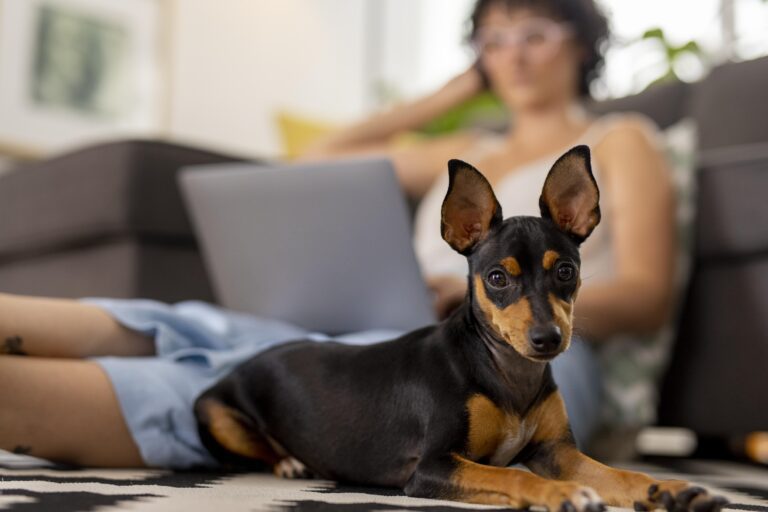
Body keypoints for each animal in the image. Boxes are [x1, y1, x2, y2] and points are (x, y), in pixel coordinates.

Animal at [194, 145, 728, 512]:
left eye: (566, 272)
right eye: (496, 278)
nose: (548, 339)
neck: (507, 373)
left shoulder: (558, 452)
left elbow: (619, 473)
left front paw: (668, 488)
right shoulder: (431, 467)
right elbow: (517, 477)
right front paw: (562, 494)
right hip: (214, 414)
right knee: (251, 448)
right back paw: (287, 460)